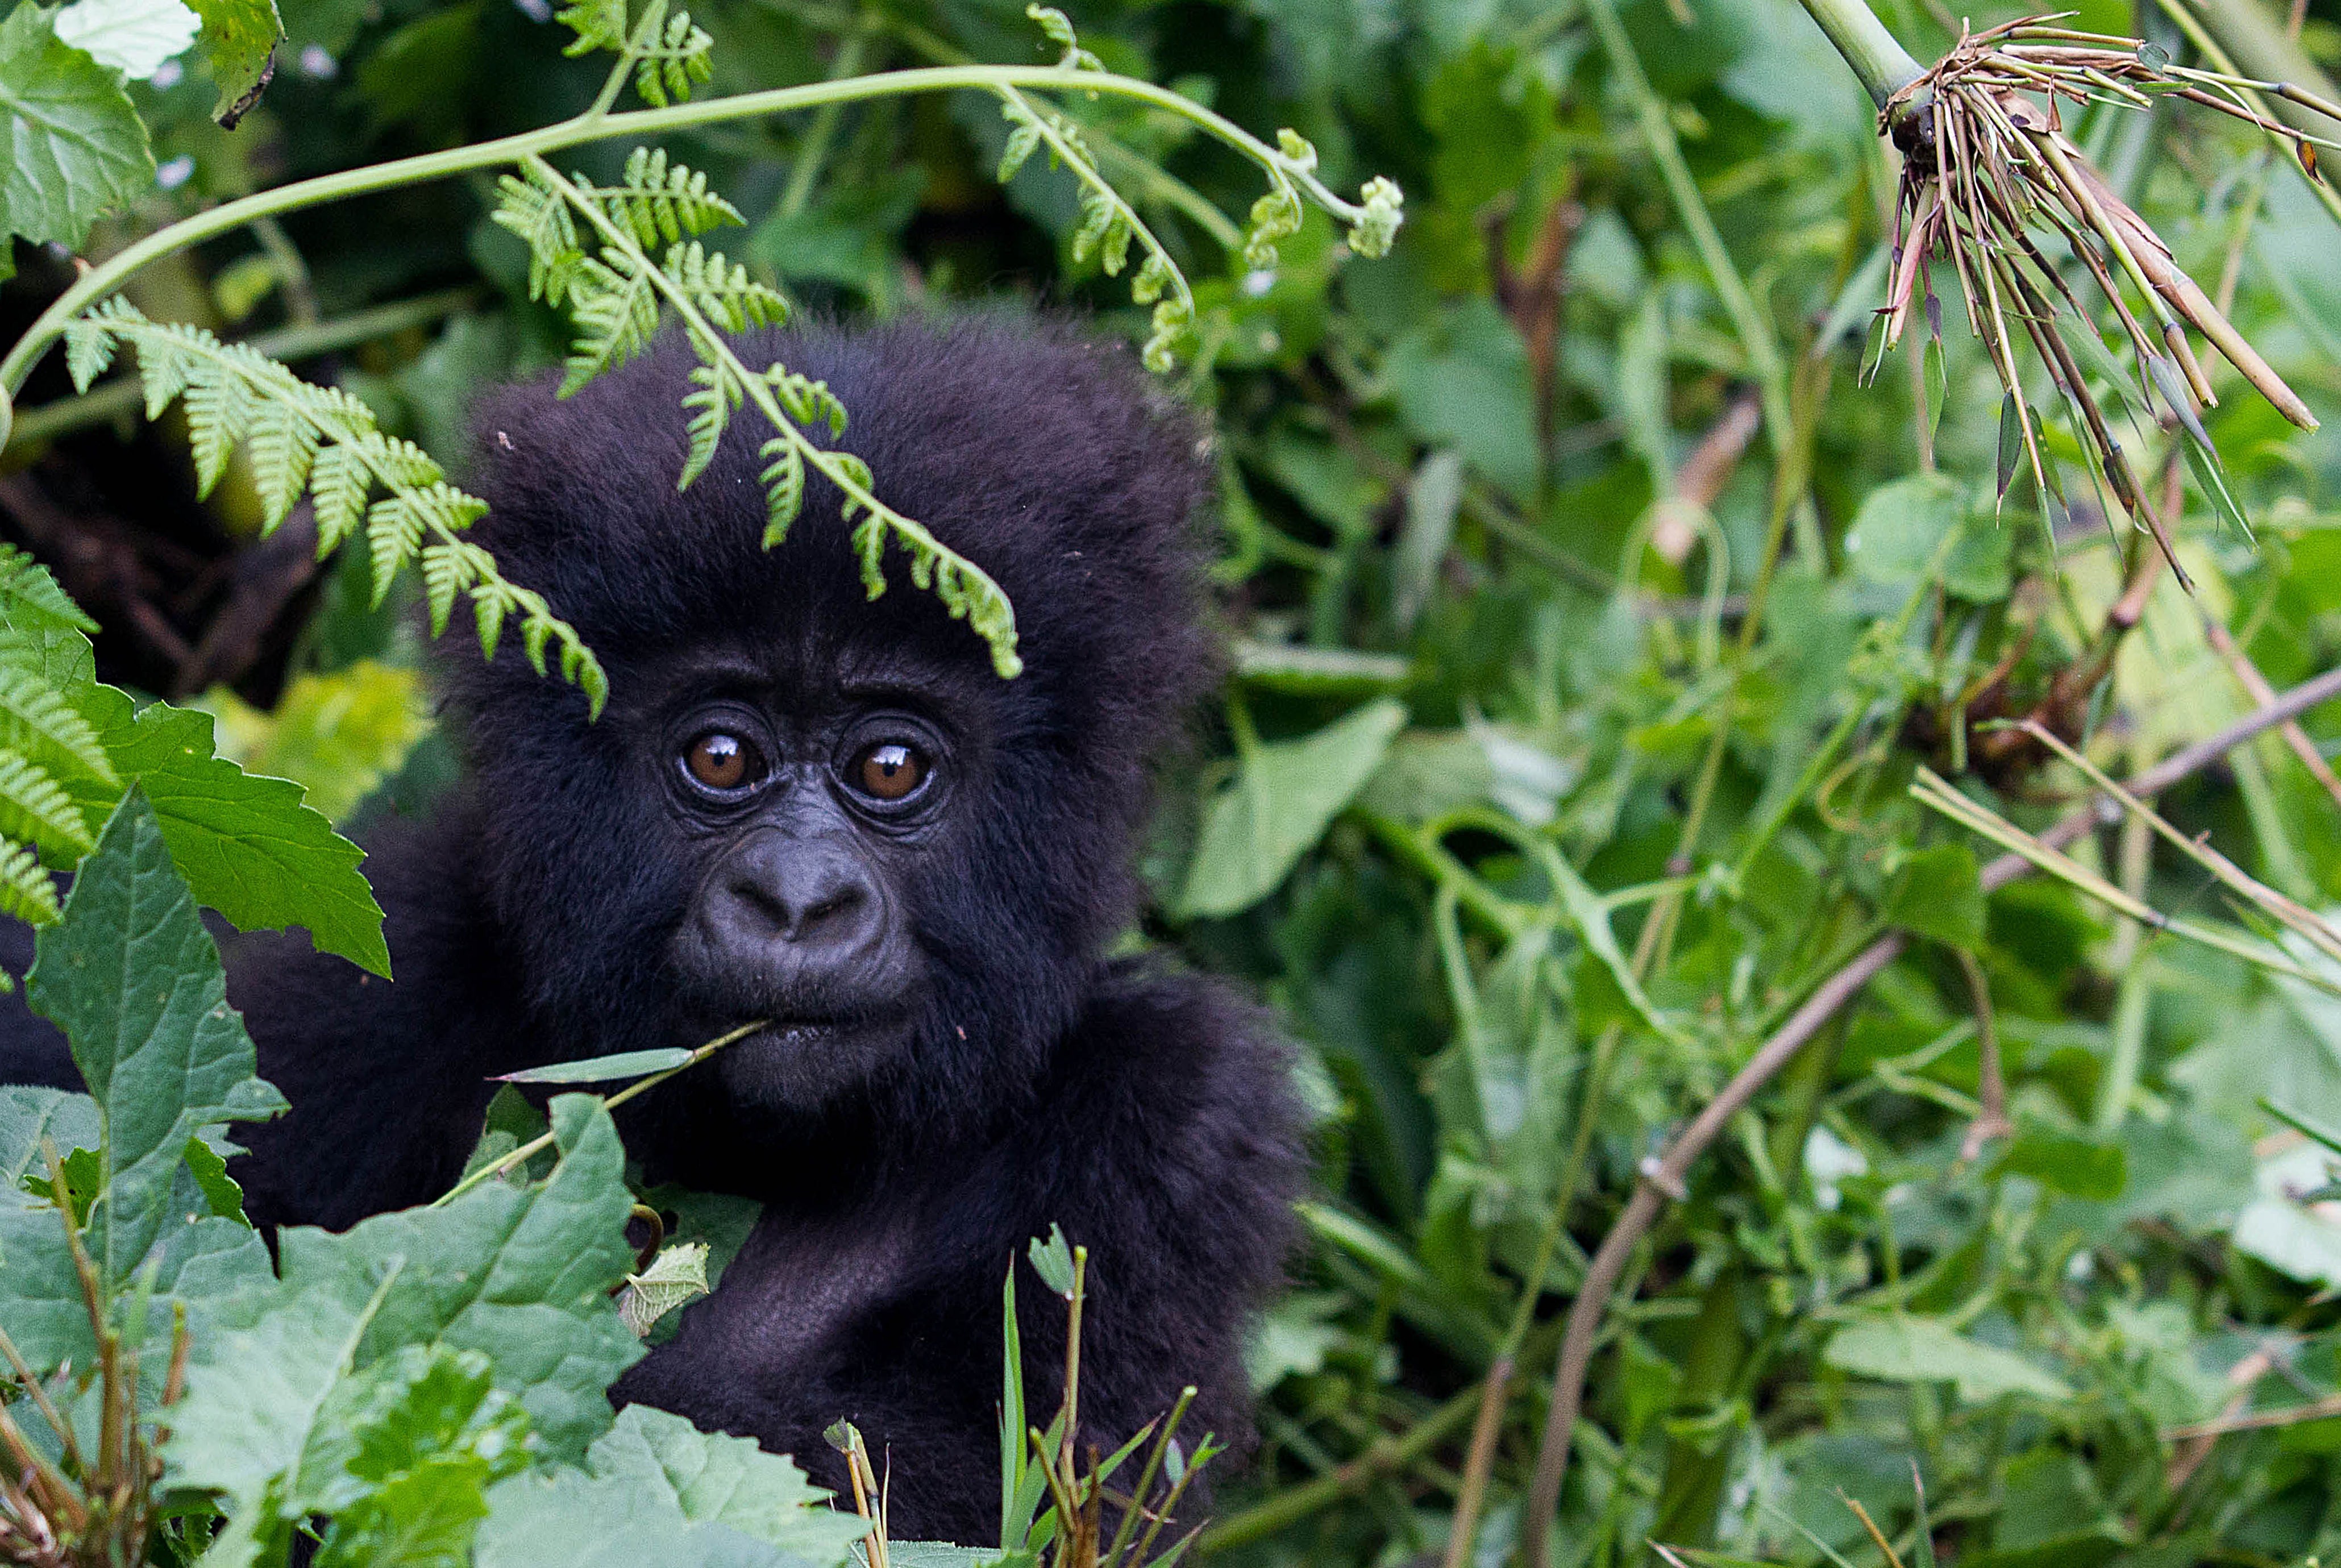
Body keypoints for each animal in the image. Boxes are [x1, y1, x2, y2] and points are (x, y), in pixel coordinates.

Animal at [0, 323, 1302, 1544]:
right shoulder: (386, 964)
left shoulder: (1181, 1116)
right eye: (720, 756)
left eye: (890, 764)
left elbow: (994, 1491)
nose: (795, 898)